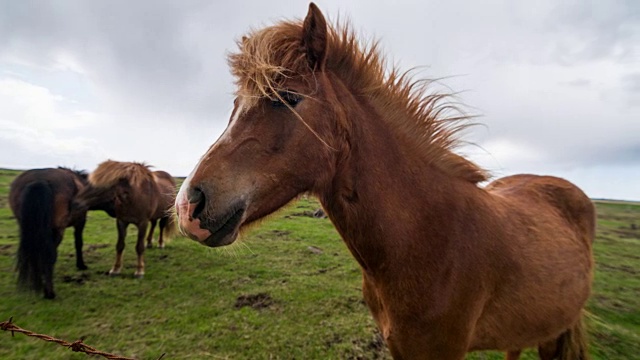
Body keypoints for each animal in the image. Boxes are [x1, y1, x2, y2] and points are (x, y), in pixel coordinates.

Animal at [8, 166, 110, 298]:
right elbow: (78, 243)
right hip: (57, 230)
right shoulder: (80, 222)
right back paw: (49, 292)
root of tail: (39, 180)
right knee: (49, 255)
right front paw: (81, 265)